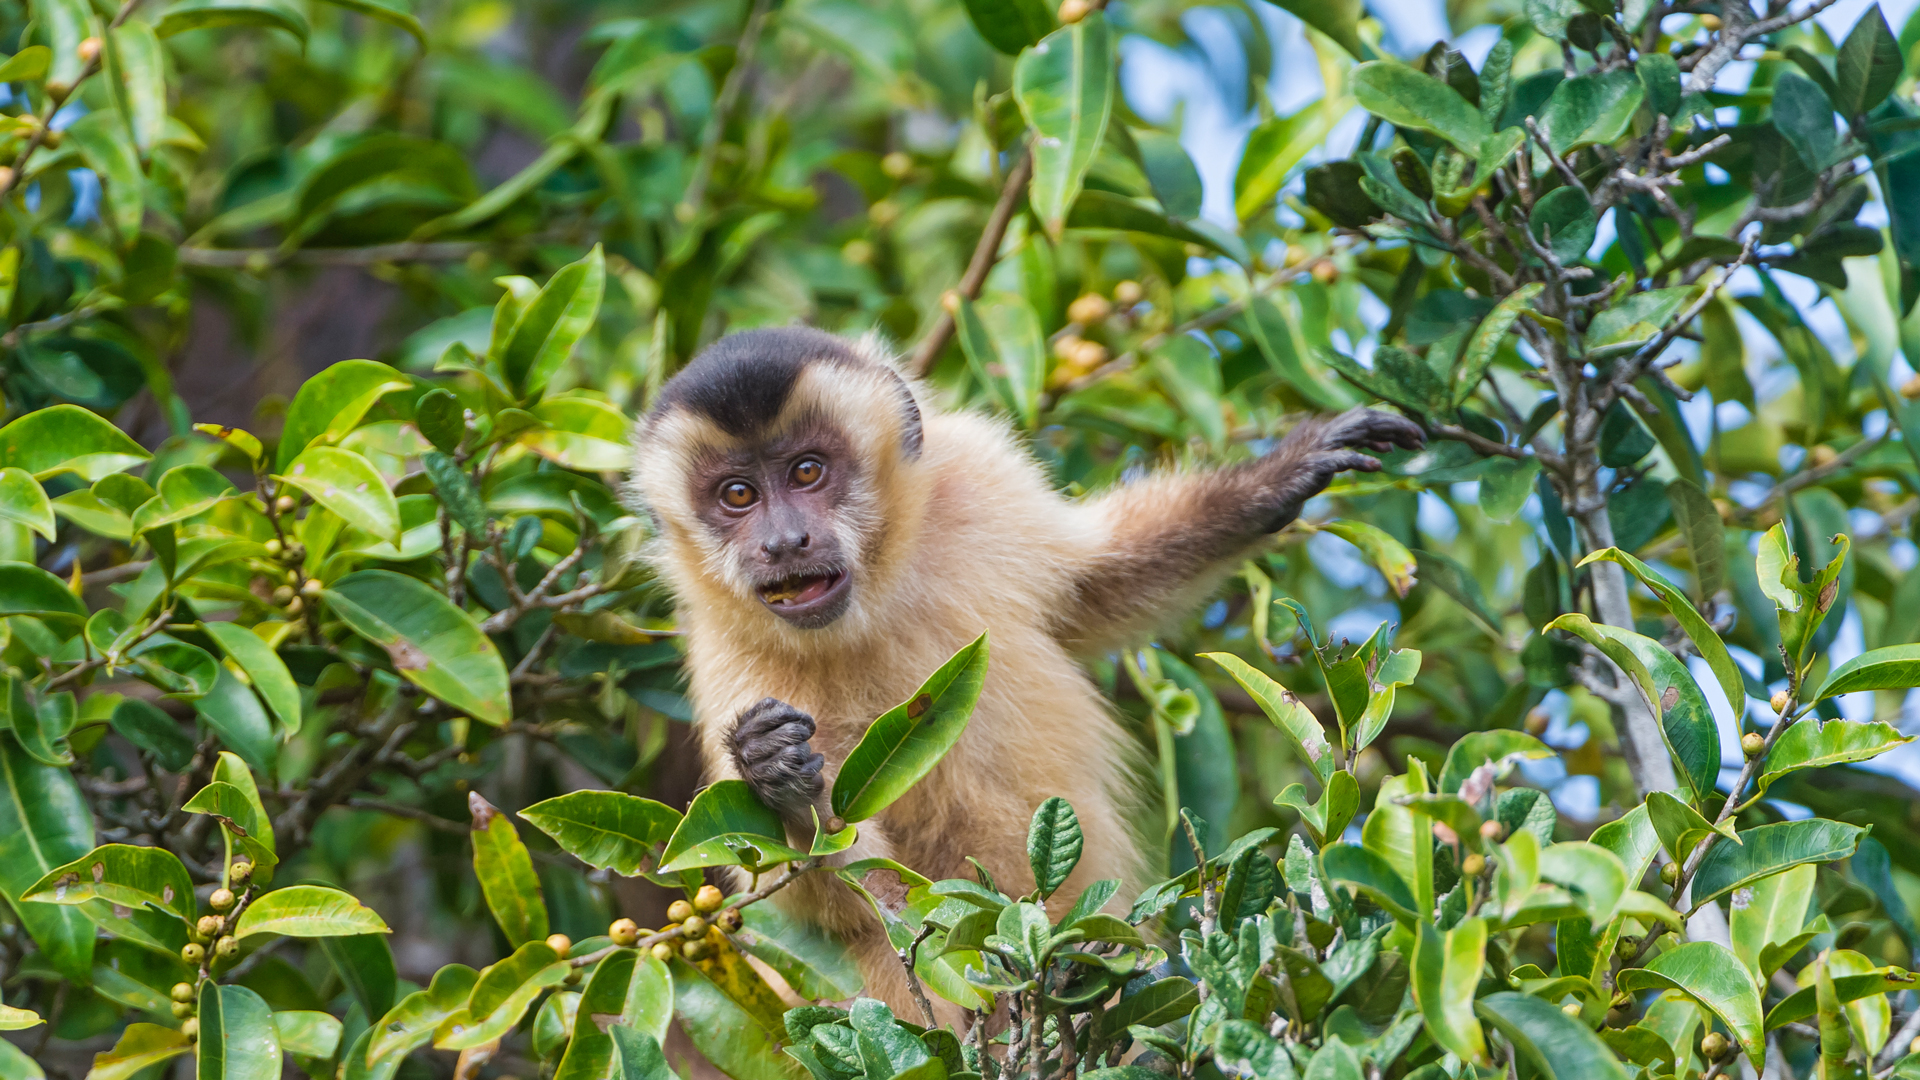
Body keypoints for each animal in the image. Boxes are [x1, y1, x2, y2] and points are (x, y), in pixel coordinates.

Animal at [622, 326, 1420, 1006]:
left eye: (807, 471)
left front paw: (1278, 478)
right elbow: (826, 902)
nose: (784, 541)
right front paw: (781, 783)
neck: (874, 598)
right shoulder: (725, 651)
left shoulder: (981, 477)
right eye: (738, 495)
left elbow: (1095, 587)